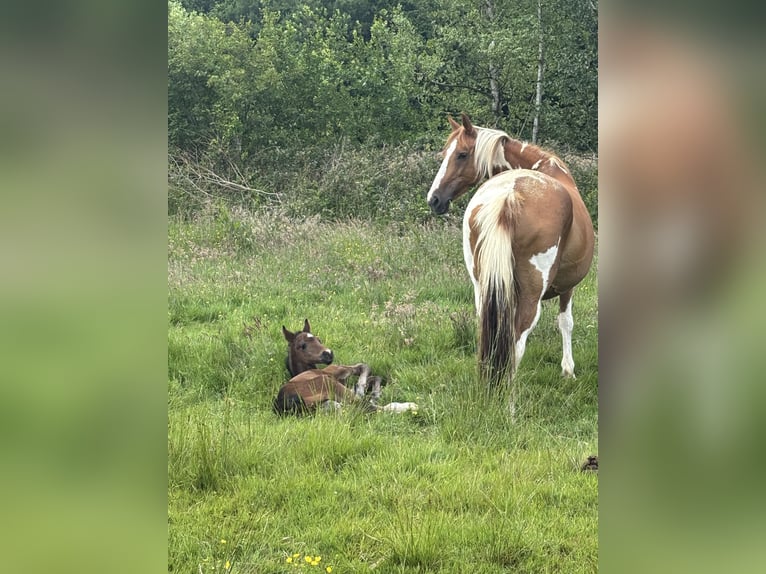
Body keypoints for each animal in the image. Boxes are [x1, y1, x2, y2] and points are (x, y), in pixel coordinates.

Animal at [274, 320, 418, 416]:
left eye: (318, 339)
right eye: (302, 345)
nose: (328, 354)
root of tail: (285, 402)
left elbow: (373, 378)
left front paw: (370, 391)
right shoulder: (336, 370)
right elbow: (363, 367)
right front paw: (362, 388)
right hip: (329, 384)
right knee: (366, 407)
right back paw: (409, 406)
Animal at [426, 113, 595, 390]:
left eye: (461, 154)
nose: (434, 199)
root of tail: (510, 194)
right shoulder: (567, 286)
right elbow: (566, 323)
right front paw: (568, 370)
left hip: (482, 288)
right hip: (530, 296)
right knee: (517, 342)